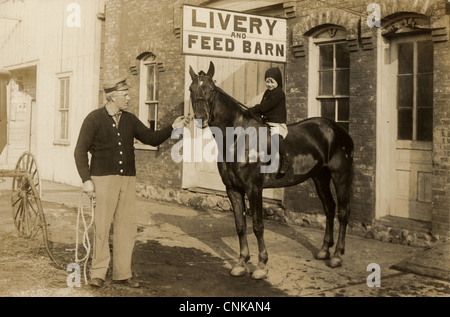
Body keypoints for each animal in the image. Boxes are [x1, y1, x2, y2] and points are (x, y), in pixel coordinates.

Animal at [188, 60, 354, 278]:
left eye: (212, 89)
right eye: (191, 89)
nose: (201, 118)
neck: (238, 137)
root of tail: (337, 129)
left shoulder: (254, 189)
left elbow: (258, 226)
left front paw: (261, 265)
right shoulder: (232, 189)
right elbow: (240, 225)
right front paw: (241, 263)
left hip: (340, 176)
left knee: (342, 212)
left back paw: (337, 256)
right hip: (320, 178)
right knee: (329, 208)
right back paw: (325, 250)